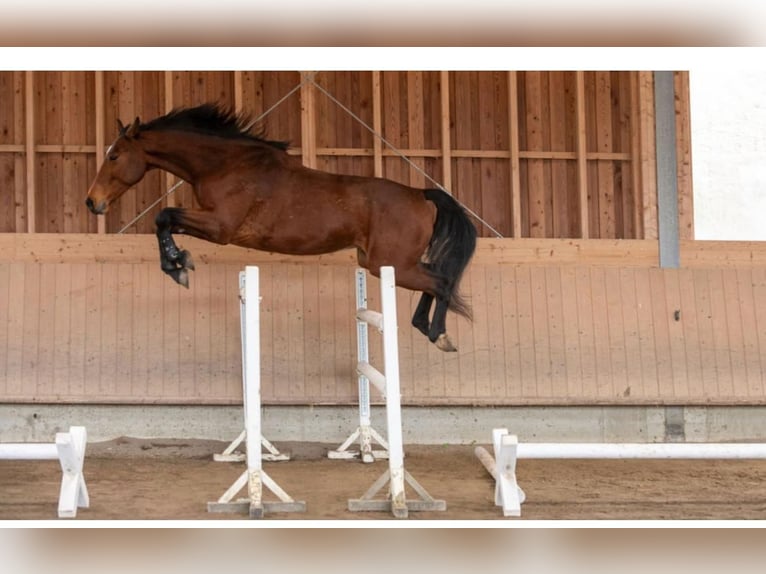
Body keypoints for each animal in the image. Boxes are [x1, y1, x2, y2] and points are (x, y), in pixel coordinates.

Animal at [86, 103, 477, 352]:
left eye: (114, 156)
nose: (92, 202)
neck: (225, 164)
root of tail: (420, 194)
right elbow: (165, 221)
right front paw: (178, 263)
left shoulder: (220, 227)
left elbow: (164, 216)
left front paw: (178, 266)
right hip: (381, 263)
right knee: (436, 280)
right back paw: (424, 327)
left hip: (387, 264)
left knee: (441, 282)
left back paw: (439, 336)